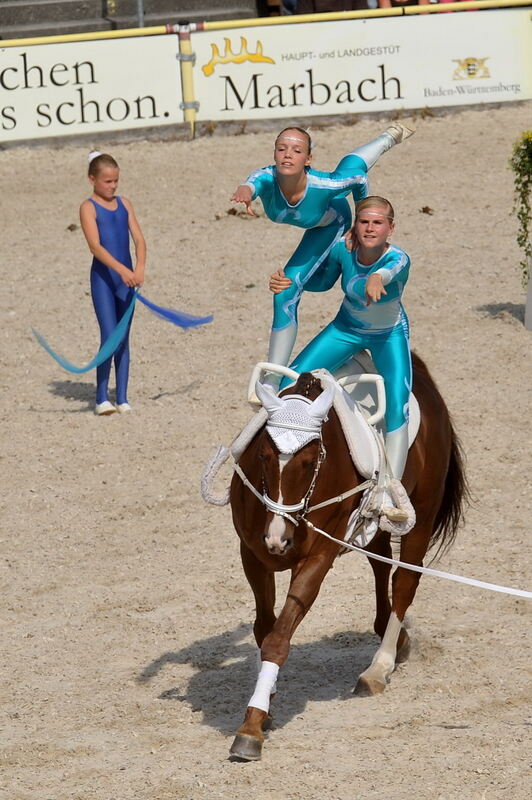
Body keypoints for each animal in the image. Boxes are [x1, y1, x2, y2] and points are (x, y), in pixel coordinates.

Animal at [227, 354, 468, 760]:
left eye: (310, 461)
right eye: (262, 454)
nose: (278, 539)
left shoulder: (317, 559)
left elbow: (278, 638)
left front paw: (251, 727)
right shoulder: (253, 553)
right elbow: (264, 629)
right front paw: (267, 700)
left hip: (421, 514)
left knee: (405, 580)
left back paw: (378, 669)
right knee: (381, 562)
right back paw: (396, 640)